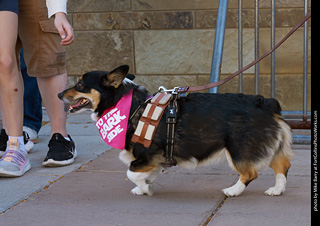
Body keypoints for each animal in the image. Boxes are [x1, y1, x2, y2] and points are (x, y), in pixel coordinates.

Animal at [58, 65, 294, 196]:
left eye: (80, 85)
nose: (59, 94)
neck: (128, 105)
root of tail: (265, 102)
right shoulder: (153, 160)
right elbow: (145, 174)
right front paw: (144, 186)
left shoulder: (147, 155)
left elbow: (131, 172)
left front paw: (144, 189)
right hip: (268, 146)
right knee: (282, 166)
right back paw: (277, 190)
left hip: (238, 150)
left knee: (250, 173)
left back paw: (232, 191)